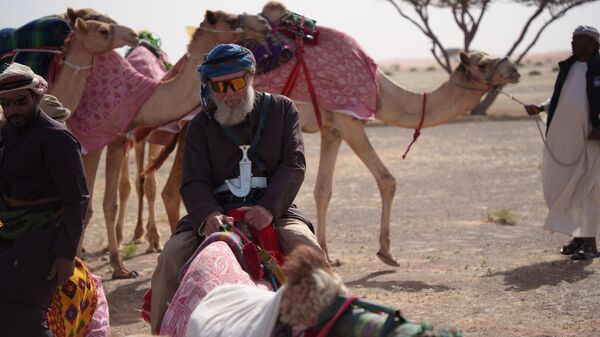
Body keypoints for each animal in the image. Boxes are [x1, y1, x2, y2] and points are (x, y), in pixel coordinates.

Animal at [74, 10, 270, 278]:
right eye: (230, 20)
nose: (263, 23)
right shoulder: (97, 138)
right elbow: (101, 201)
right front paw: (115, 265)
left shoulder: (121, 137)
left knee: (145, 184)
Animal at [142, 0, 520, 268]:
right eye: (483, 63)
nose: (514, 69)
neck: (382, 91)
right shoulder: (350, 118)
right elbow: (387, 179)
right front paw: (386, 252)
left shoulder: (331, 128)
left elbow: (323, 189)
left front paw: (326, 252)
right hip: (191, 125)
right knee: (174, 187)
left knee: (172, 188)